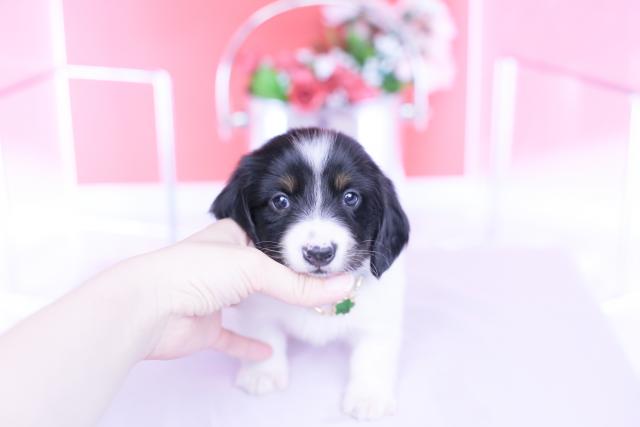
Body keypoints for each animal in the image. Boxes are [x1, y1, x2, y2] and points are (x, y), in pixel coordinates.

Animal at [211, 127, 409, 420]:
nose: (319, 253)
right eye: (280, 201)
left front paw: (368, 396)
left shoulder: (381, 316)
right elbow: (264, 336)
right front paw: (263, 373)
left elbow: (373, 353)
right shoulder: (258, 306)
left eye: (350, 197)